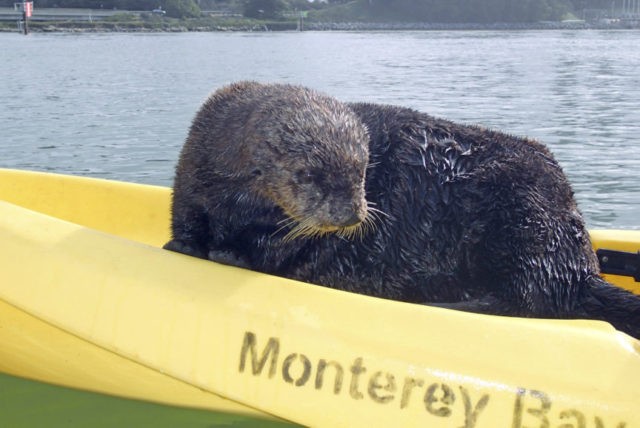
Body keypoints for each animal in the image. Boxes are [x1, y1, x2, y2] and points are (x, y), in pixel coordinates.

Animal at [164, 81, 640, 339]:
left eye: (360, 172)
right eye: (308, 176)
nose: (352, 214)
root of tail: (583, 266)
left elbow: (277, 249)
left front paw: (229, 252)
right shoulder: (193, 178)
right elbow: (187, 217)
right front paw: (184, 245)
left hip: (525, 215)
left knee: (530, 297)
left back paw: (449, 302)